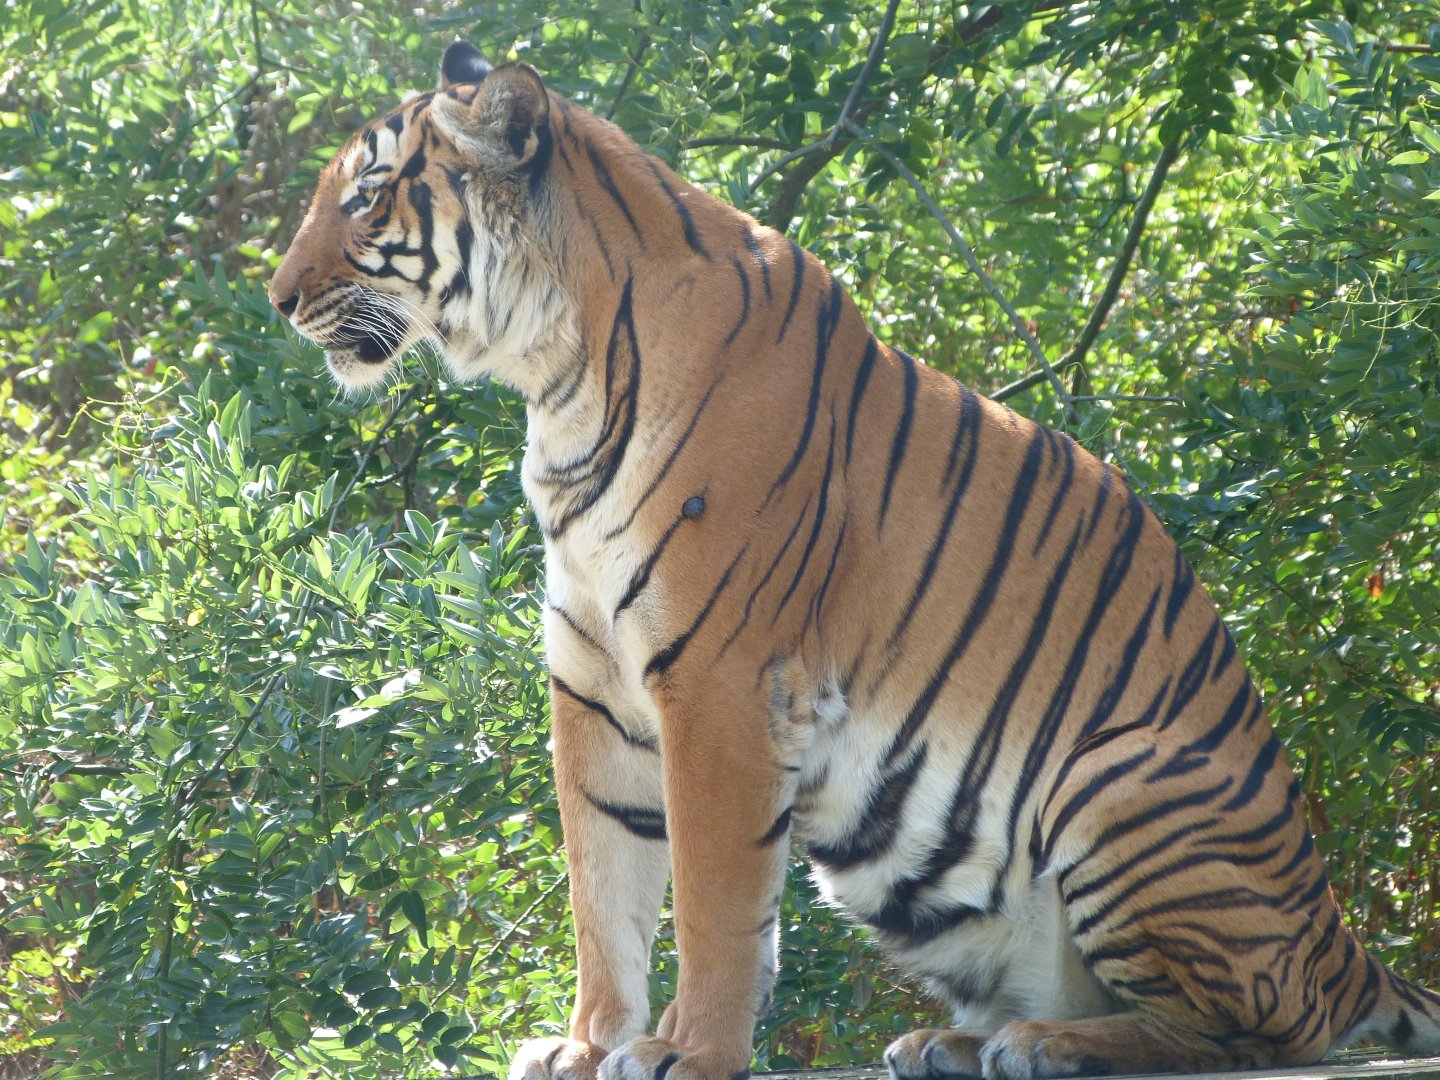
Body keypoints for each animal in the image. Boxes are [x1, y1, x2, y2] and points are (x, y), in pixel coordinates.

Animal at [269, 38, 1440, 1080]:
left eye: (367, 198)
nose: (278, 299)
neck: (555, 372)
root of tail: (1341, 941)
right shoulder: (594, 688)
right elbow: (605, 890)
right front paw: (590, 1045)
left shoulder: (718, 680)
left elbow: (714, 901)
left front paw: (688, 1052)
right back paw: (959, 1044)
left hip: (1122, 778)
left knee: (1271, 1030)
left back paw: (1047, 1046)